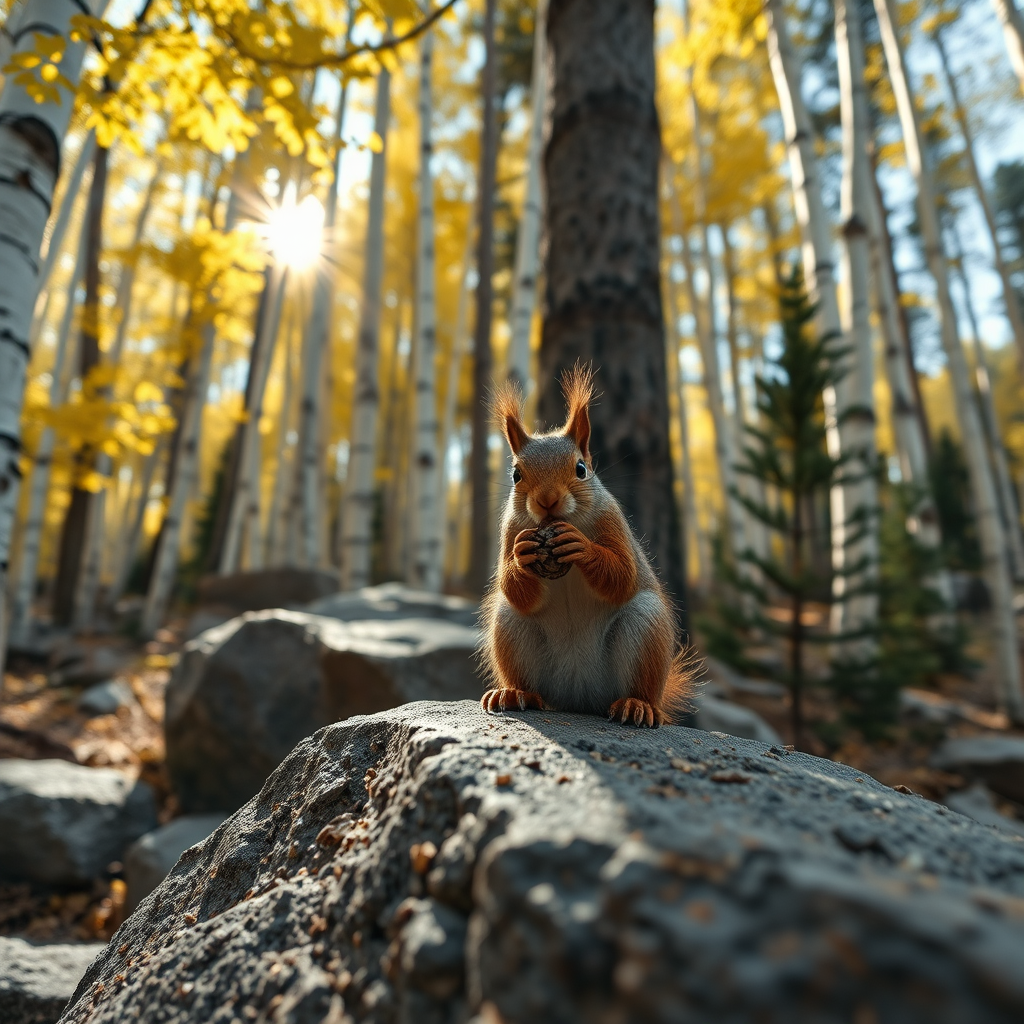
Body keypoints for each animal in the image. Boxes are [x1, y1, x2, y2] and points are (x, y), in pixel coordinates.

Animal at [480, 364, 693, 728]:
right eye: (516, 475)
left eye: (581, 469)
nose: (547, 501)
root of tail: (579, 698)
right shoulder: (509, 530)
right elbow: (514, 588)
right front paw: (522, 555)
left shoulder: (612, 520)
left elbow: (622, 575)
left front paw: (581, 546)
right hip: (510, 627)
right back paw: (515, 693)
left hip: (646, 625)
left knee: (640, 686)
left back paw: (637, 705)